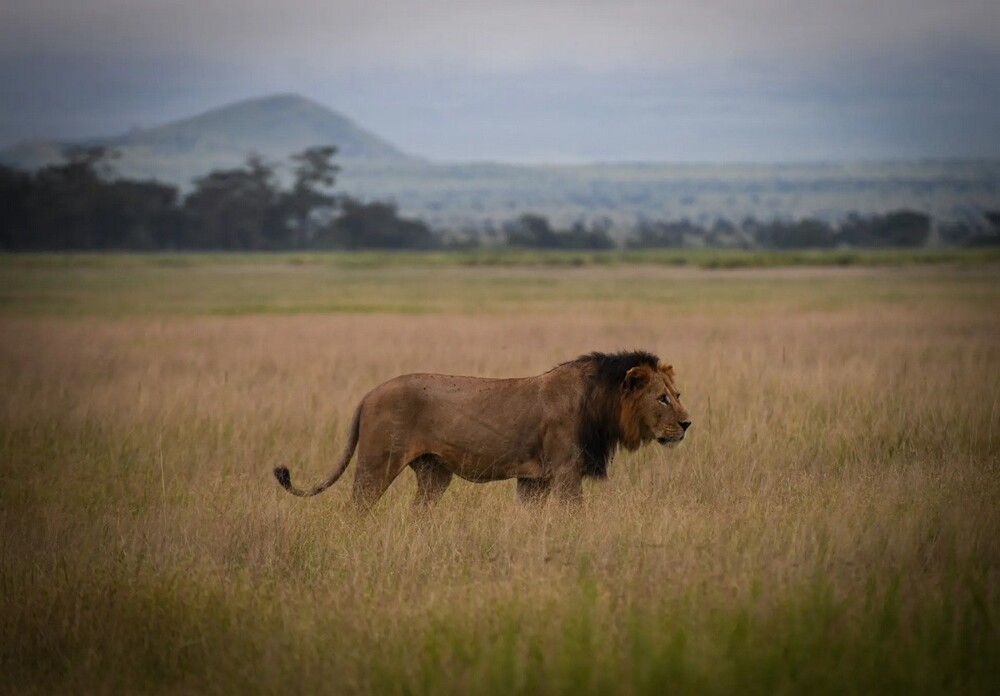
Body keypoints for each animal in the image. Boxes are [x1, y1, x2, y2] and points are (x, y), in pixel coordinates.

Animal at [278, 350, 692, 508]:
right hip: (376, 465)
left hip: (434, 473)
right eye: (662, 399)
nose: (688, 424)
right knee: (357, 507)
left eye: (677, 394)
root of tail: (367, 394)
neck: (601, 405)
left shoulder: (534, 480)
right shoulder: (565, 472)